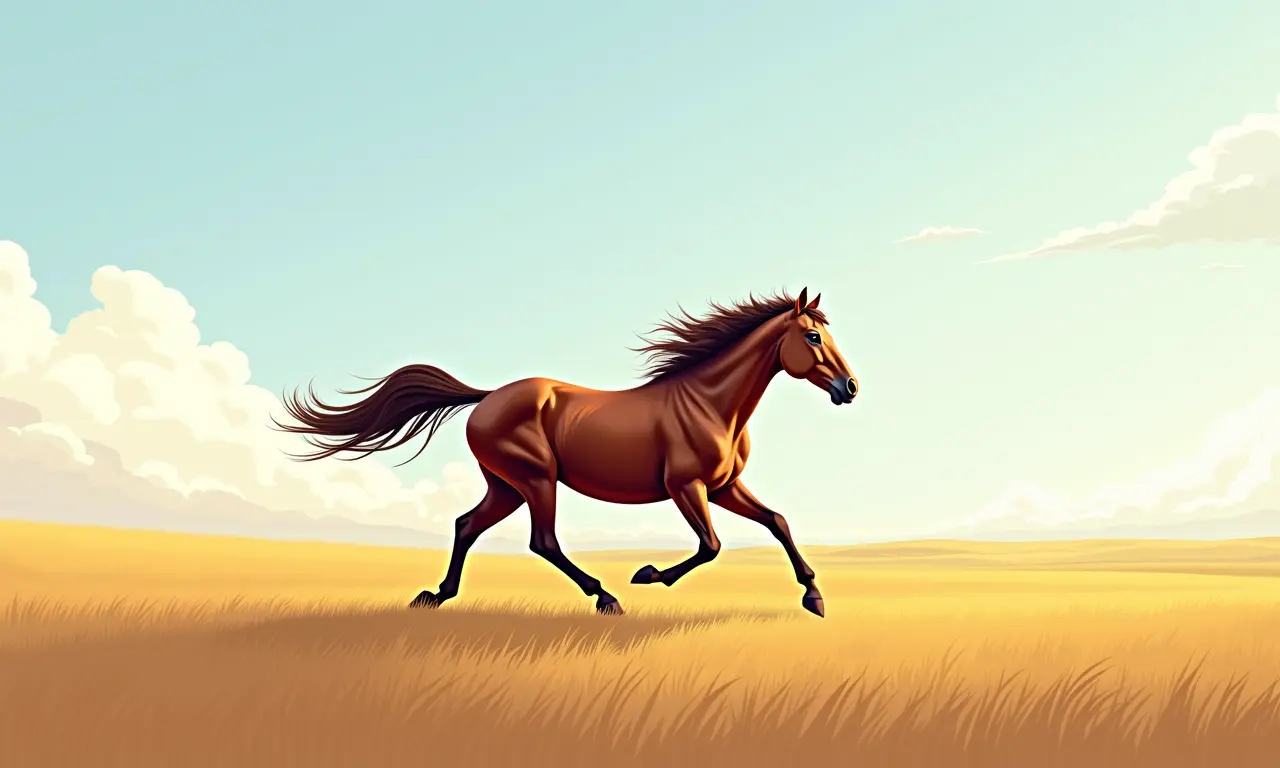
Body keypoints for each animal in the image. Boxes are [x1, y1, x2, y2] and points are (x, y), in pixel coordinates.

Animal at [274, 287, 859, 617]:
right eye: (811, 337)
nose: (849, 388)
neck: (710, 404)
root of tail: (487, 397)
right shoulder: (685, 487)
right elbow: (711, 545)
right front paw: (648, 575)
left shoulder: (724, 486)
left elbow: (777, 521)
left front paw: (814, 598)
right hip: (535, 479)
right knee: (543, 541)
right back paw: (606, 597)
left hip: (507, 486)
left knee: (467, 525)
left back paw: (436, 596)